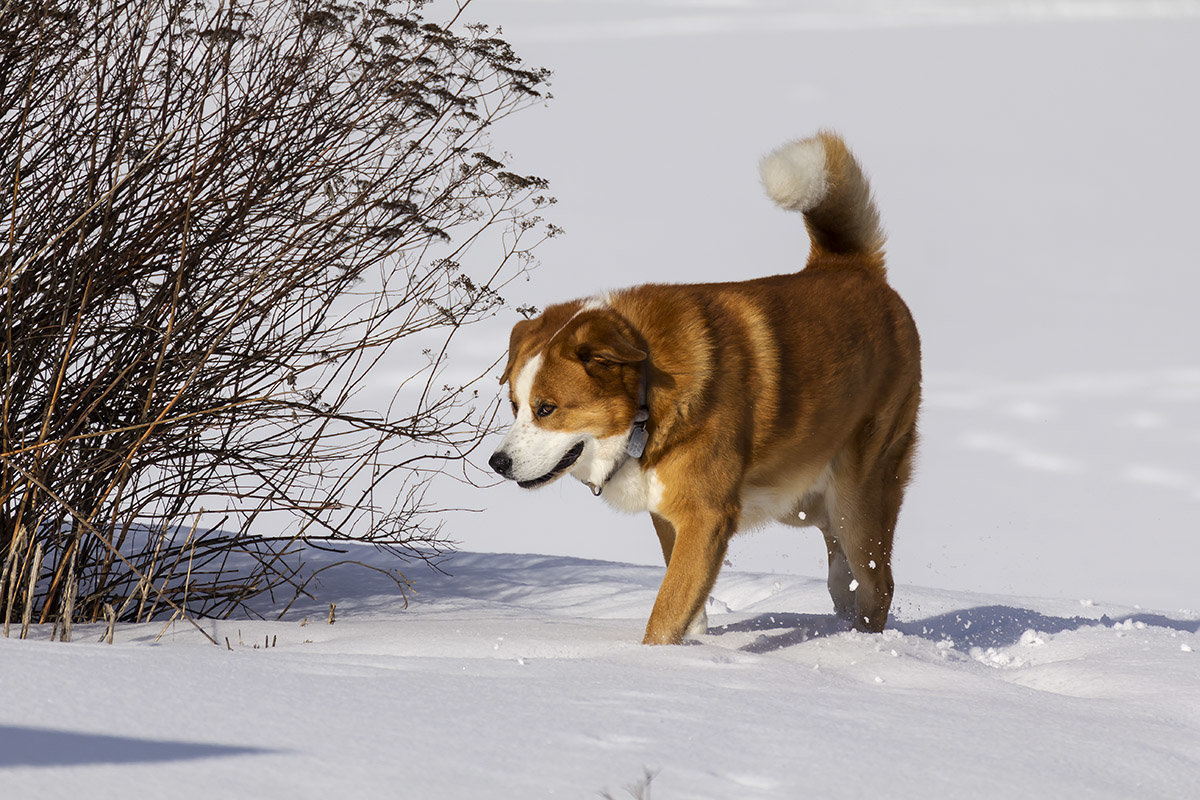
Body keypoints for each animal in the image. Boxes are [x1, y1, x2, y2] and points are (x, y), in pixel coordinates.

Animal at [484, 131, 916, 642]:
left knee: (877, 584)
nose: (497, 462)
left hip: (859, 494)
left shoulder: (705, 517)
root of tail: (849, 268)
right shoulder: (669, 517)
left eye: (547, 408)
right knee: (841, 580)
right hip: (806, 502)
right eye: (514, 406)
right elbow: (688, 609)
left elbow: (667, 610)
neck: (647, 401)